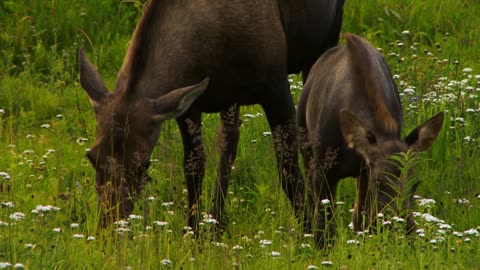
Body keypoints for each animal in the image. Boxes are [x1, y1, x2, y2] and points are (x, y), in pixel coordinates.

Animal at [78, 0, 344, 232]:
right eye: (91, 156)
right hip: (231, 98)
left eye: (143, 164)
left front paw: (307, 233)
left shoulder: (275, 86)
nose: (108, 225)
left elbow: (288, 168)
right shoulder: (189, 105)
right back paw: (216, 222)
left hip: (324, 43)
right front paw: (193, 232)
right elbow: (194, 167)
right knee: (229, 142)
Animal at [298, 34, 444, 249]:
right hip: (305, 145)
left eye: (416, 183)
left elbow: (364, 220)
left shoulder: (365, 169)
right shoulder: (323, 171)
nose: (407, 232)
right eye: (380, 181)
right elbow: (324, 227)